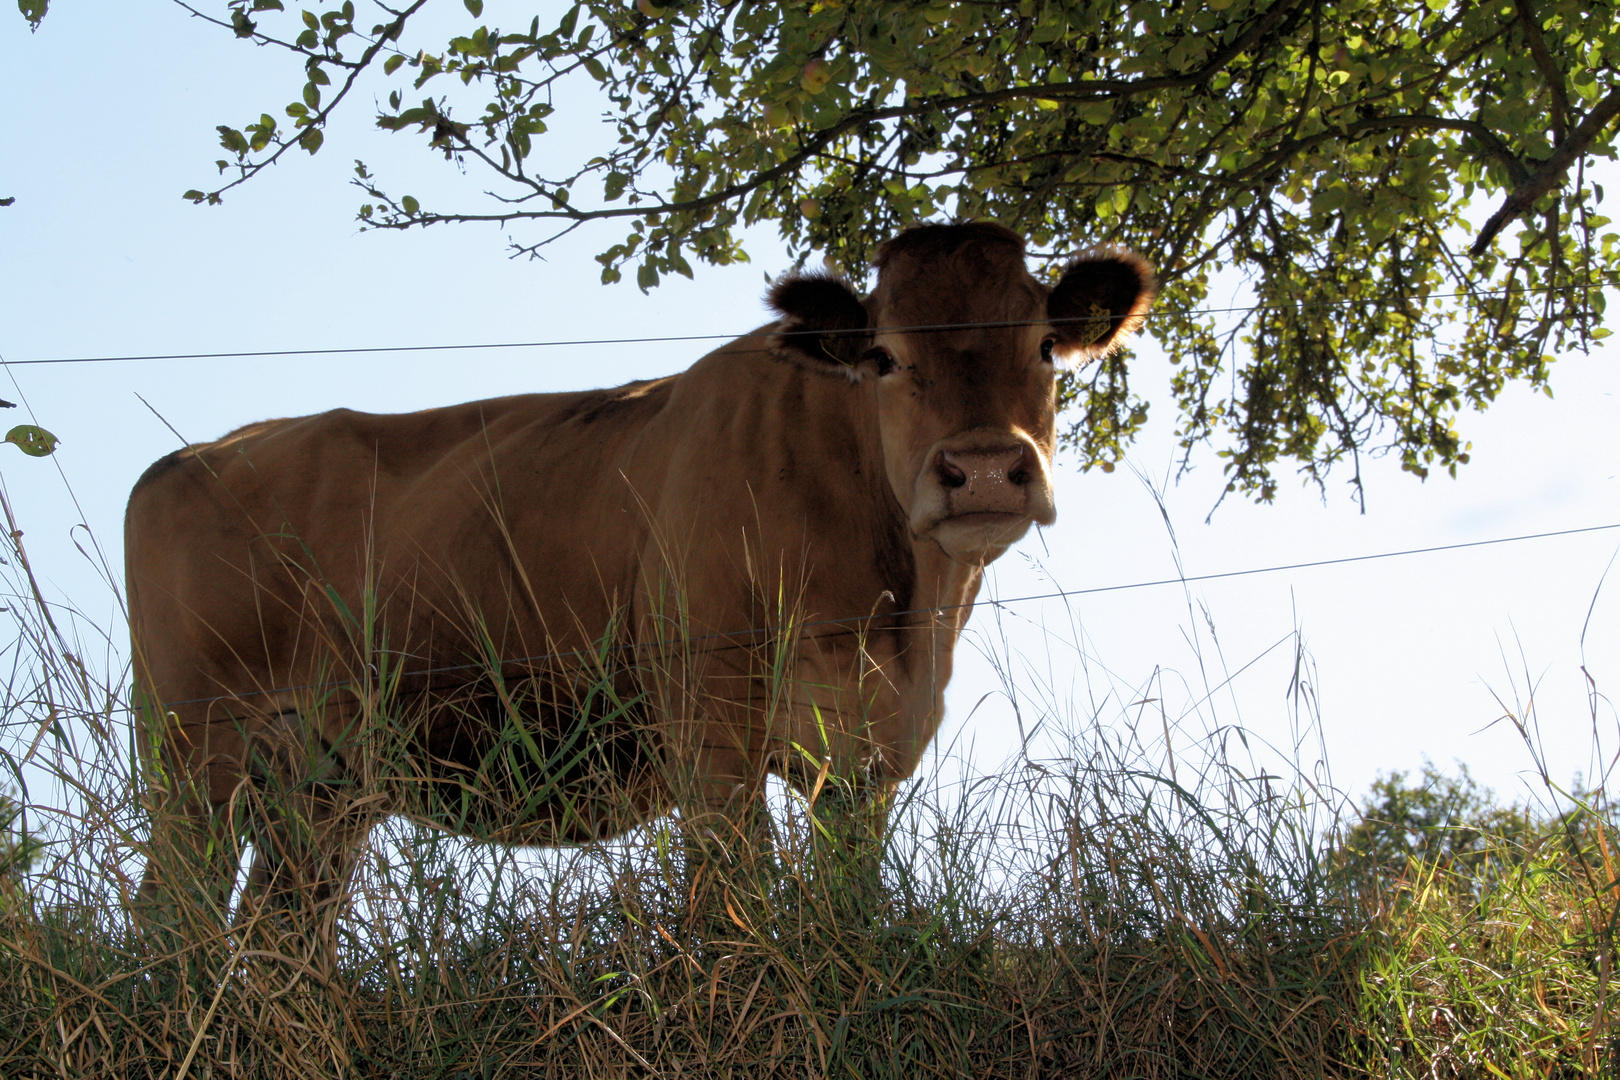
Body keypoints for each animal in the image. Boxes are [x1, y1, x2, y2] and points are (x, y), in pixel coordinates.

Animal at [123, 221, 1153, 919]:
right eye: (886, 358)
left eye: (1044, 347)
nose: (983, 466)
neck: (902, 608)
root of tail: (194, 456)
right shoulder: (711, 723)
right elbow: (730, 895)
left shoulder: (867, 756)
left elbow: (847, 906)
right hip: (195, 758)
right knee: (171, 913)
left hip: (322, 790)